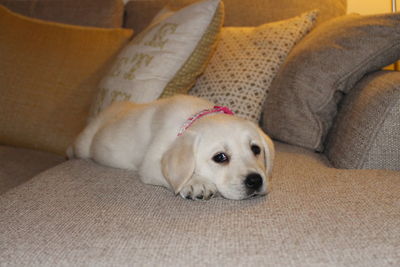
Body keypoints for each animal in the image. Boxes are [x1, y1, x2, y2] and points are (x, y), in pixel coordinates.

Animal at [69, 95, 276, 202]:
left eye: (256, 149)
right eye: (220, 157)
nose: (255, 180)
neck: (192, 116)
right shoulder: (150, 164)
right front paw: (195, 182)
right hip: (84, 144)